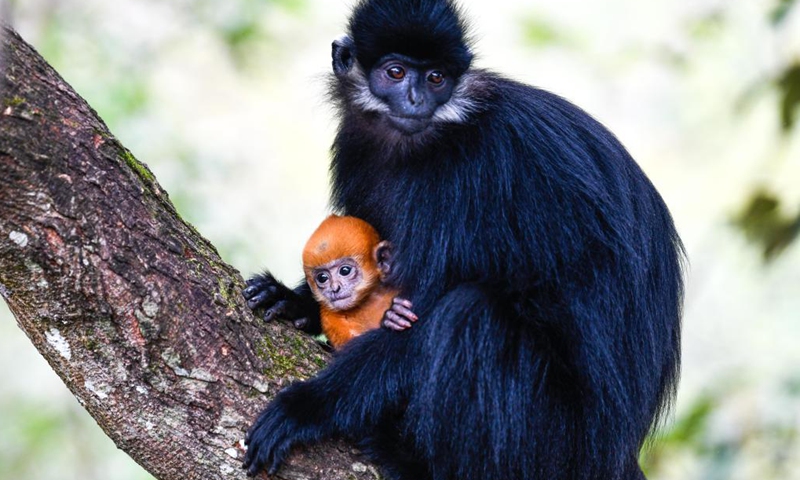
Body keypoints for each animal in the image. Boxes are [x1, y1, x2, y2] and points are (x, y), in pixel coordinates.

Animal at [302, 215, 417, 349]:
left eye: (345, 271)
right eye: (322, 278)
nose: (334, 288)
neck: (368, 300)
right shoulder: (328, 316)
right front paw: (390, 318)